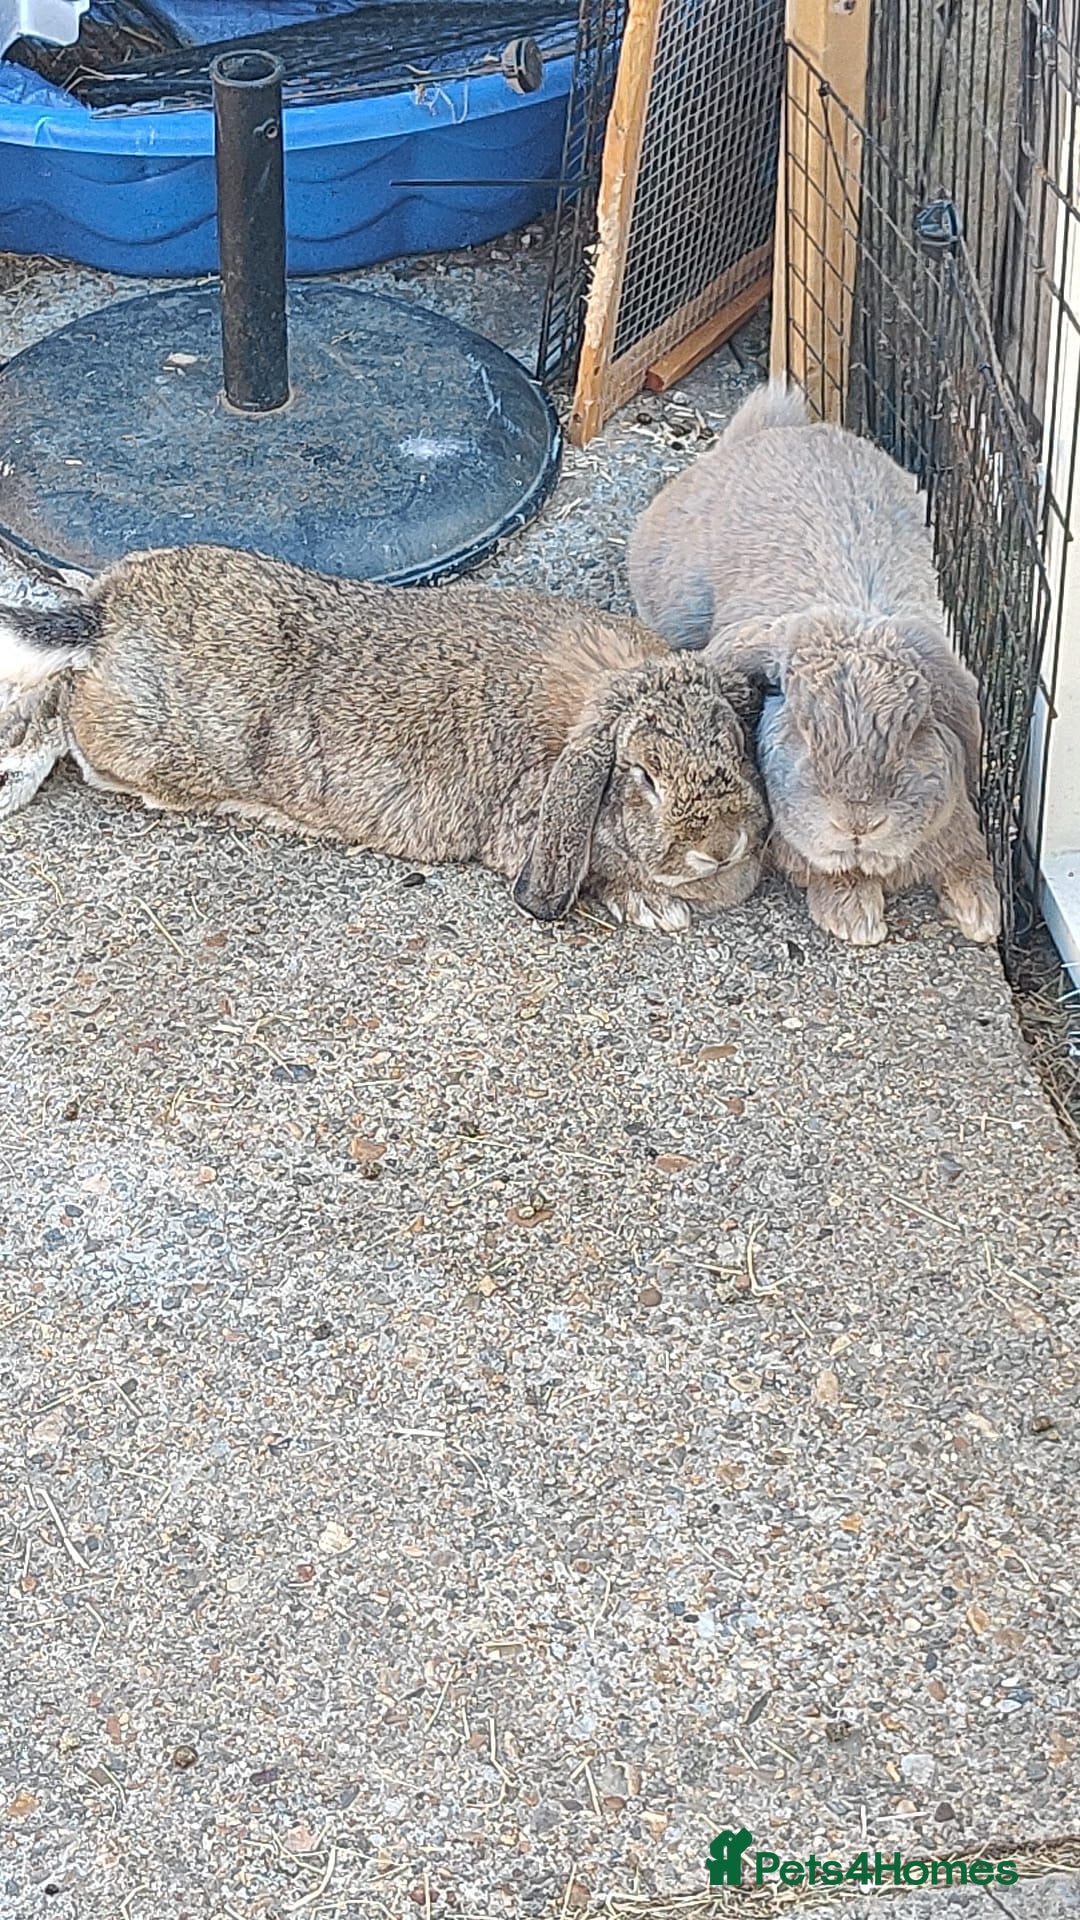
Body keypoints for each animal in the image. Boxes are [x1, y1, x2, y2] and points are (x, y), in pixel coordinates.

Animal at [0, 541, 770, 933]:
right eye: (643, 777)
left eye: (733, 743)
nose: (723, 845)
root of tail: (102, 615)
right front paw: (655, 910)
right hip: (141, 750)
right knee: (62, 708)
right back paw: (15, 780)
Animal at [628, 379, 1001, 949]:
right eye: (803, 729)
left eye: (916, 729)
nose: (857, 824)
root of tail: (768, 434)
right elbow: (827, 873)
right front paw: (855, 919)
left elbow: (966, 853)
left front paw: (983, 915)